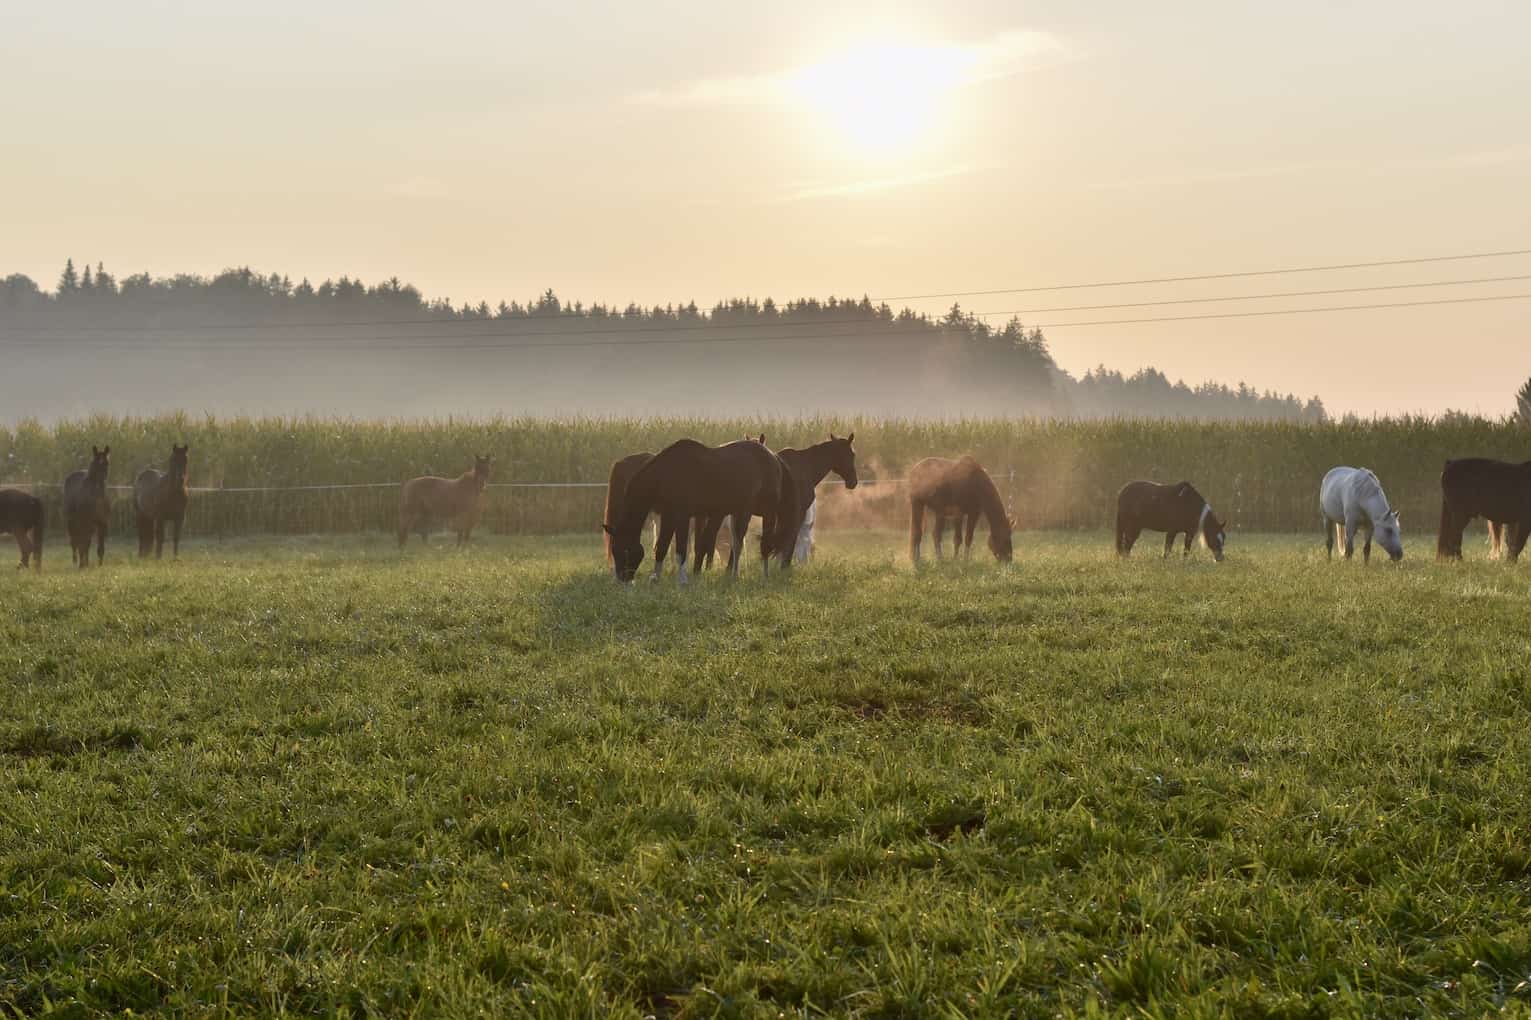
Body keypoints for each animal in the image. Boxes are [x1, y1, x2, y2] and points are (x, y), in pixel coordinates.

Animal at [603, 434, 802, 578]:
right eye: (614, 549)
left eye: (626, 549)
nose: (623, 578)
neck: (667, 473)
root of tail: (773, 457)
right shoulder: (668, 516)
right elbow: (661, 547)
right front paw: (655, 579)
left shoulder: (682, 516)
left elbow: (682, 550)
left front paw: (682, 581)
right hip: (739, 513)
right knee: (738, 543)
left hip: (764, 512)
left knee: (761, 544)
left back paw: (761, 576)